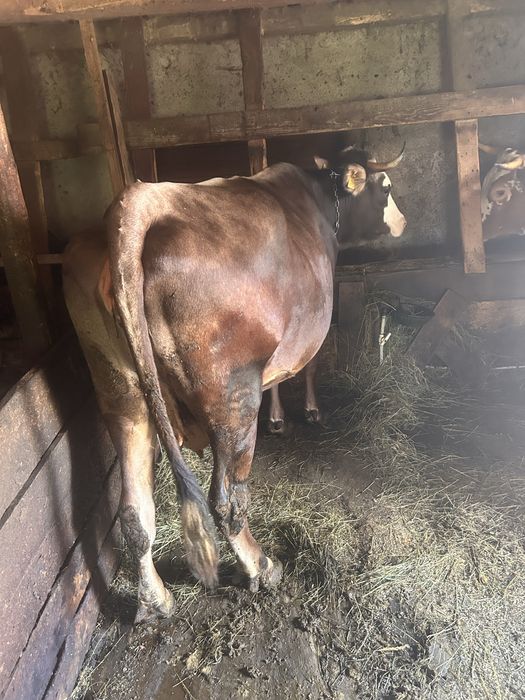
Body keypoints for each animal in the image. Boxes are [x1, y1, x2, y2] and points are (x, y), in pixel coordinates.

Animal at [62, 145, 406, 623]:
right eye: (386, 188)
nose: (403, 222)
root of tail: (144, 201)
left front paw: (281, 417)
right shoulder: (307, 335)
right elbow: (309, 368)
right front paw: (308, 413)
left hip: (121, 393)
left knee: (134, 511)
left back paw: (156, 600)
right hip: (233, 397)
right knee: (226, 500)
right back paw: (260, 566)